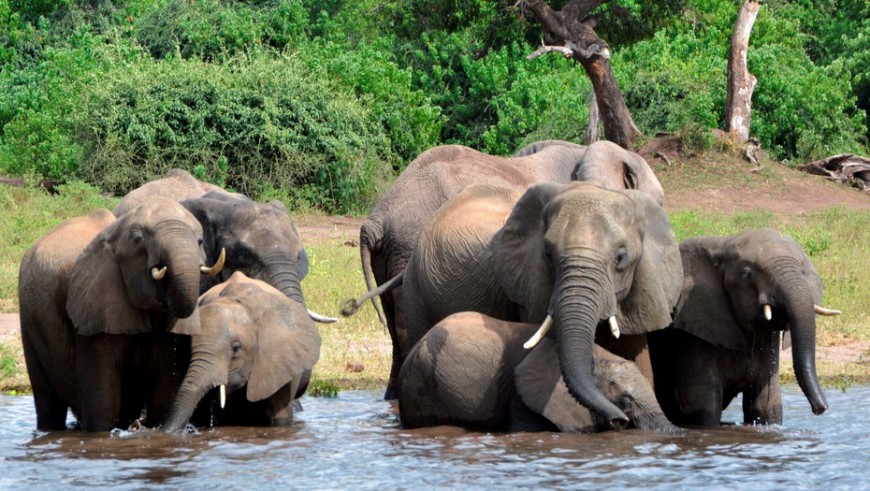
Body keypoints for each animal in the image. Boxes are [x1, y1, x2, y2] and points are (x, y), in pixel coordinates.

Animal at [19, 198, 225, 431]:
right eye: (137, 240)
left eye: (199, 241)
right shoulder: (94, 305)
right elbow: (103, 405)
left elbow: (163, 396)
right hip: (29, 319)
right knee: (48, 404)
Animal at [647, 228, 839, 427]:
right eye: (747, 275)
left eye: (802, 271)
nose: (820, 409)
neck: (723, 244)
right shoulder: (692, 331)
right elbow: (703, 409)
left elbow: (766, 406)